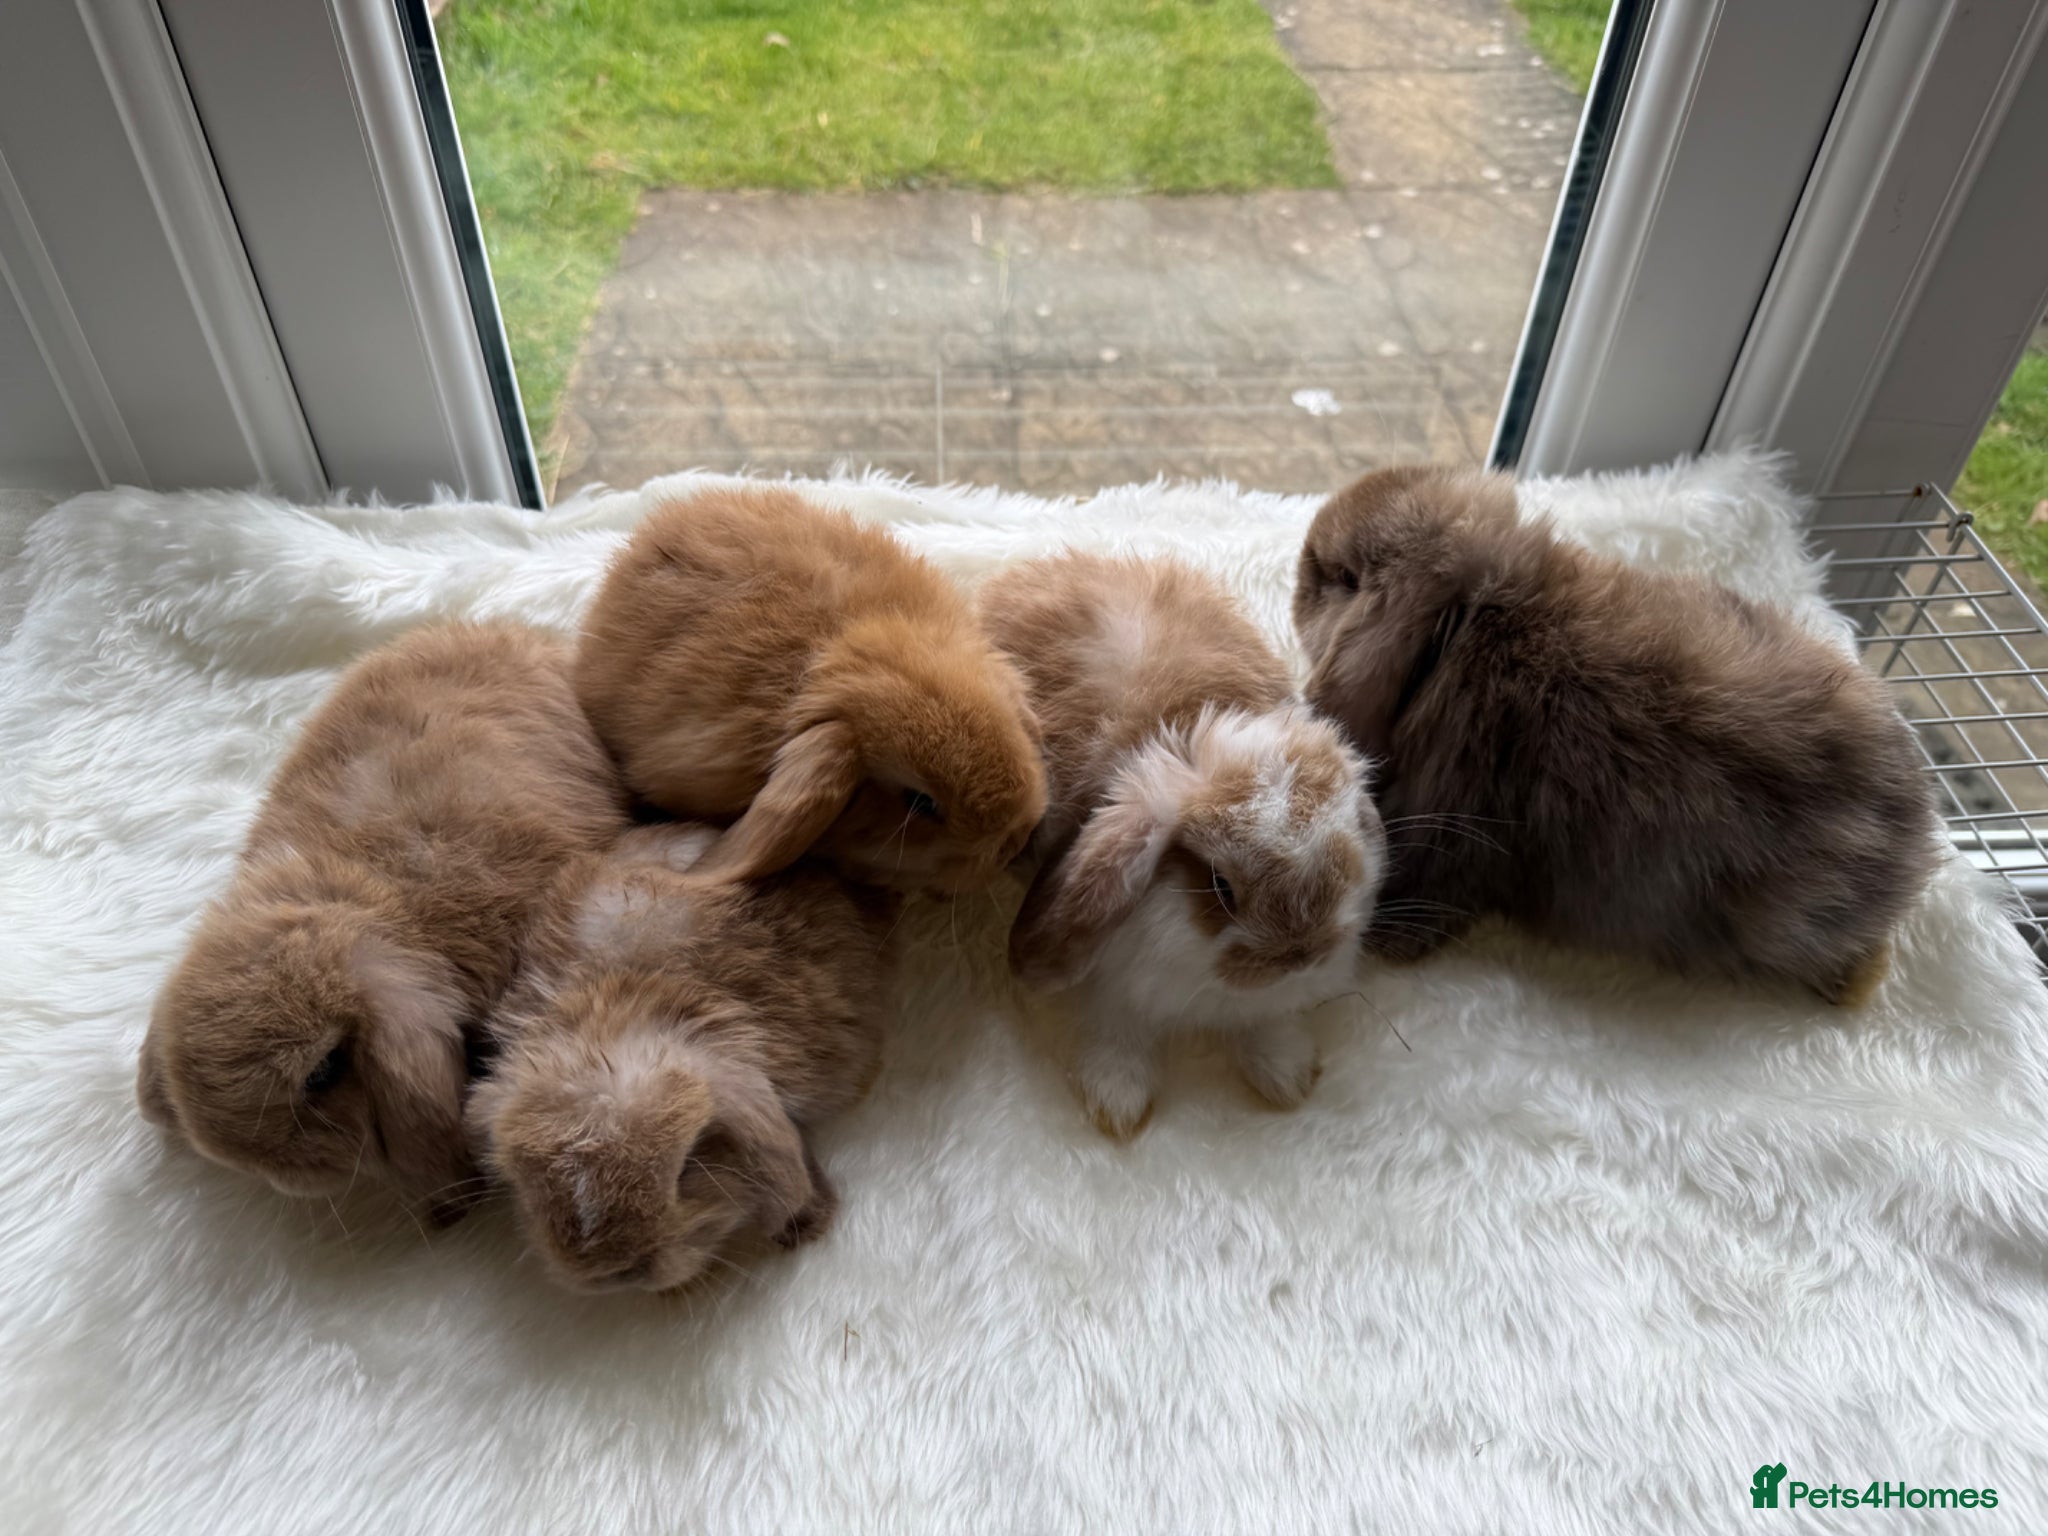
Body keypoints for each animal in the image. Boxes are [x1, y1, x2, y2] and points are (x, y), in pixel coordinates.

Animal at [980, 553, 1387, 1138]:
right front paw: (1118, 1104)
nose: (1301, 956)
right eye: (1220, 886)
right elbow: (1118, 1032)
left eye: (1344, 863)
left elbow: (1266, 1022)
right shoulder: (1113, 982)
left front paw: (1286, 1076)